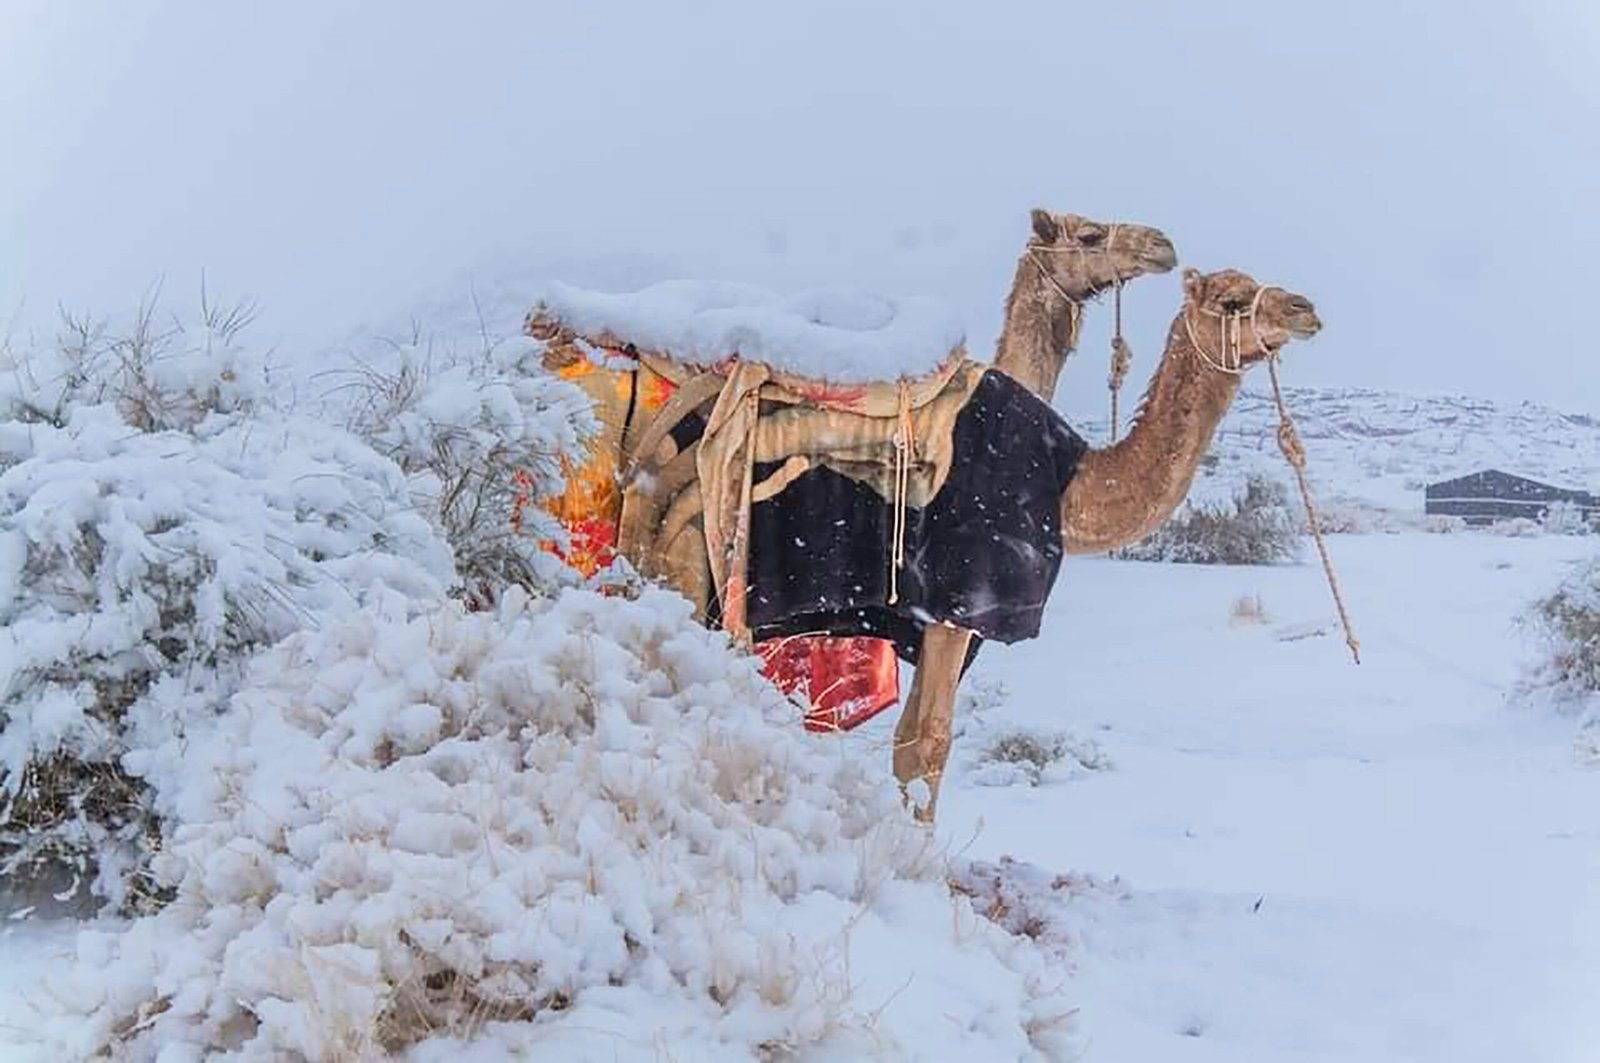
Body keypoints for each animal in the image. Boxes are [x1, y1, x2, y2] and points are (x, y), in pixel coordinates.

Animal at [518, 246, 1318, 819]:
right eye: (1232, 299)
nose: (1306, 307)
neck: (1072, 483)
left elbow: (910, 740)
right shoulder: (960, 604)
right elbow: (925, 747)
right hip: (677, 555)